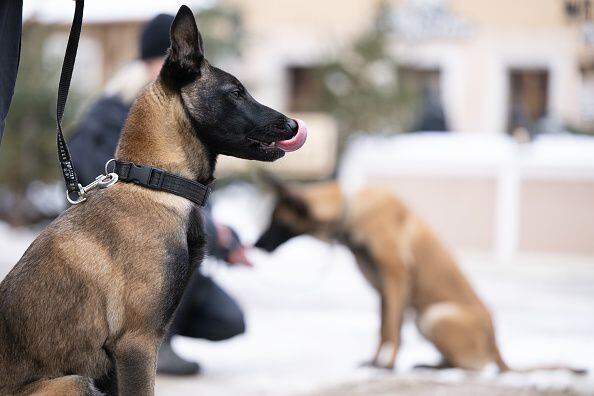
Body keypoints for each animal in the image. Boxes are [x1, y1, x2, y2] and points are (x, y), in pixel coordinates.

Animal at [254, 177, 584, 374]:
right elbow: (384, 329)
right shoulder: (384, 292)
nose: (254, 245)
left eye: (276, 221)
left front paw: (386, 367)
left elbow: (390, 331)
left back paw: (440, 368)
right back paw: (430, 364)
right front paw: (376, 362)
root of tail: (495, 345)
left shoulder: (396, 281)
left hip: (435, 316)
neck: (354, 211)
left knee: (470, 367)